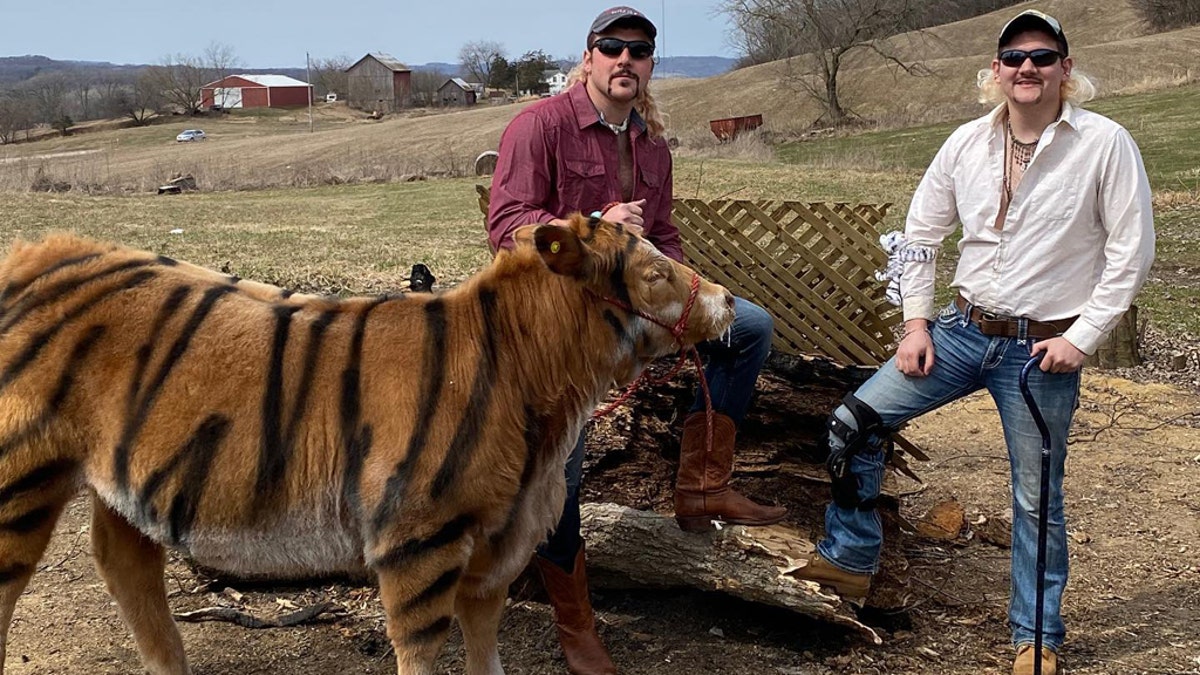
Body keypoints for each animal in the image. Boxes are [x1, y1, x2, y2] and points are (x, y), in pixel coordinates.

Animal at [0, 214, 734, 672]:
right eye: (656, 275)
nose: (728, 300)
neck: (531, 375)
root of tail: (34, 250)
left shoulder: (496, 547)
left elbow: (486, 653)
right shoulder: (419, 543)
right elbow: (422, 654)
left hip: (125, 488)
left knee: (127, 569)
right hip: (21, 475)